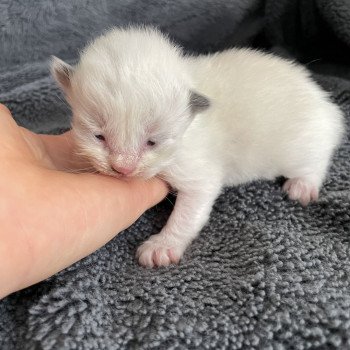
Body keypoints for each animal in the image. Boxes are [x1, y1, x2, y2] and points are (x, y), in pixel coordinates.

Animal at [50, 27, 344, 268]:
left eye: (152, 141)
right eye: (98, 136)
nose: (123, 169)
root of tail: (322, 100)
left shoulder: (198, 172)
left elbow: (188, 213)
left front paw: (162, 247)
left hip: (302, 143)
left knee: (318, 157)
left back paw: (303, 185)